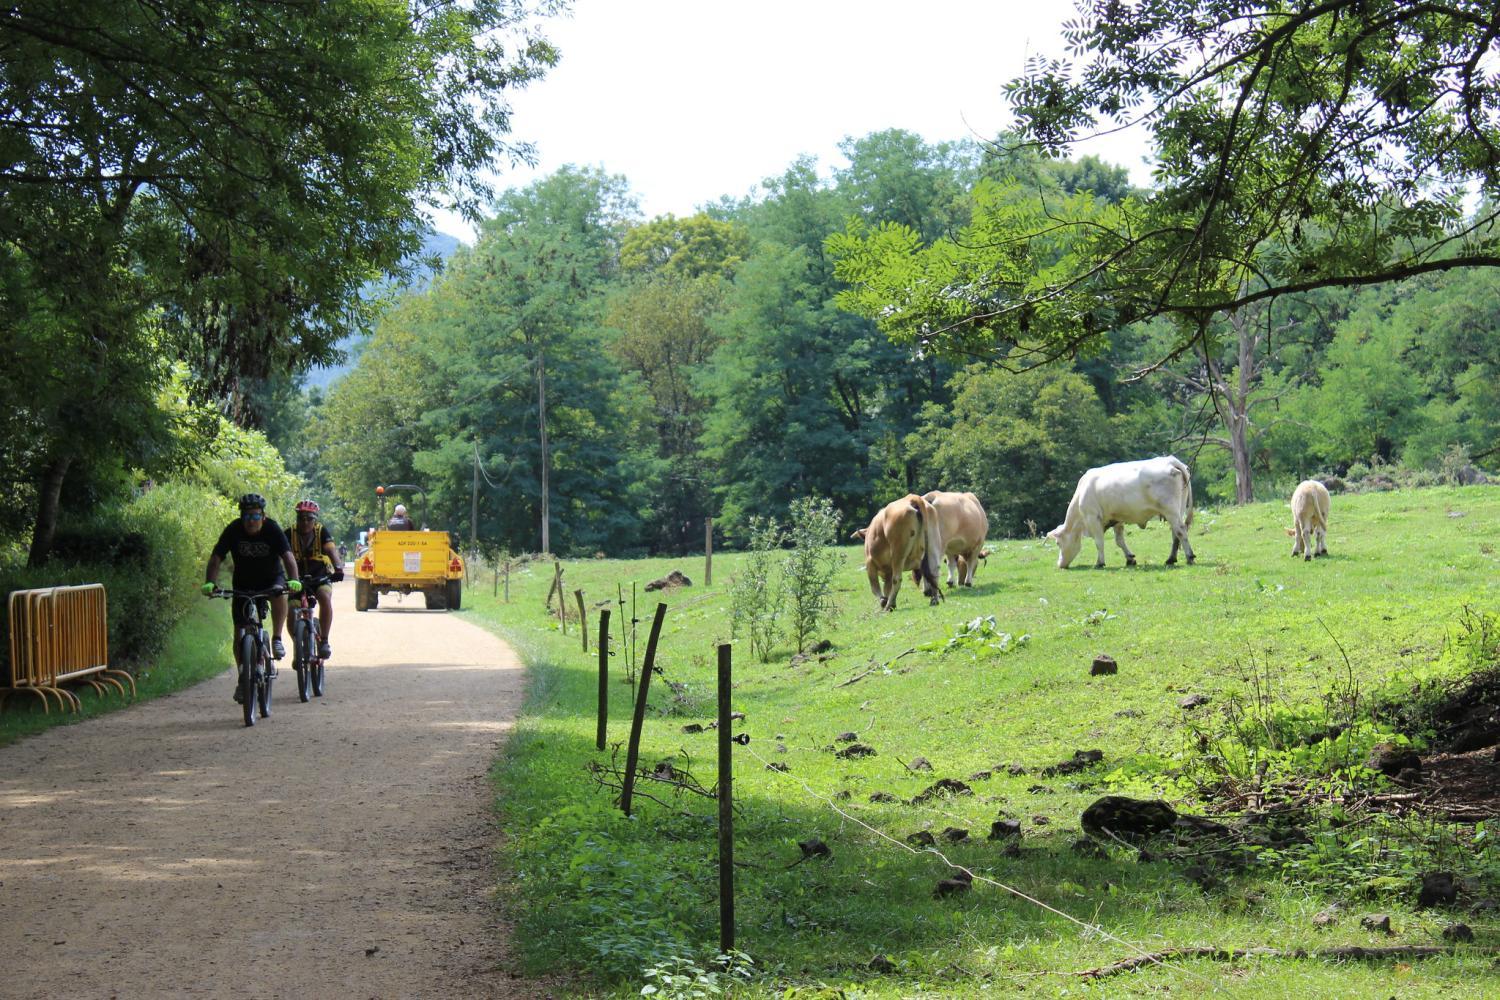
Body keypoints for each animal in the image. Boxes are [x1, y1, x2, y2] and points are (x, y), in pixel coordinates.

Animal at [1044, 455, 1194, 566]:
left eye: (1058, 543)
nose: (1059, 564)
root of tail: (1170, 460)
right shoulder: (1117, 518)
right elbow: (1119, 540)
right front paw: (1130, 558)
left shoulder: (1093, 517)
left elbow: (1099, 541)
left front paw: (1100, 563)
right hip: (1178, 510)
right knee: (1176, 533)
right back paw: (1171, 559)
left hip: (1170, 510)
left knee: (1180, 531)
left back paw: (1189, 556)